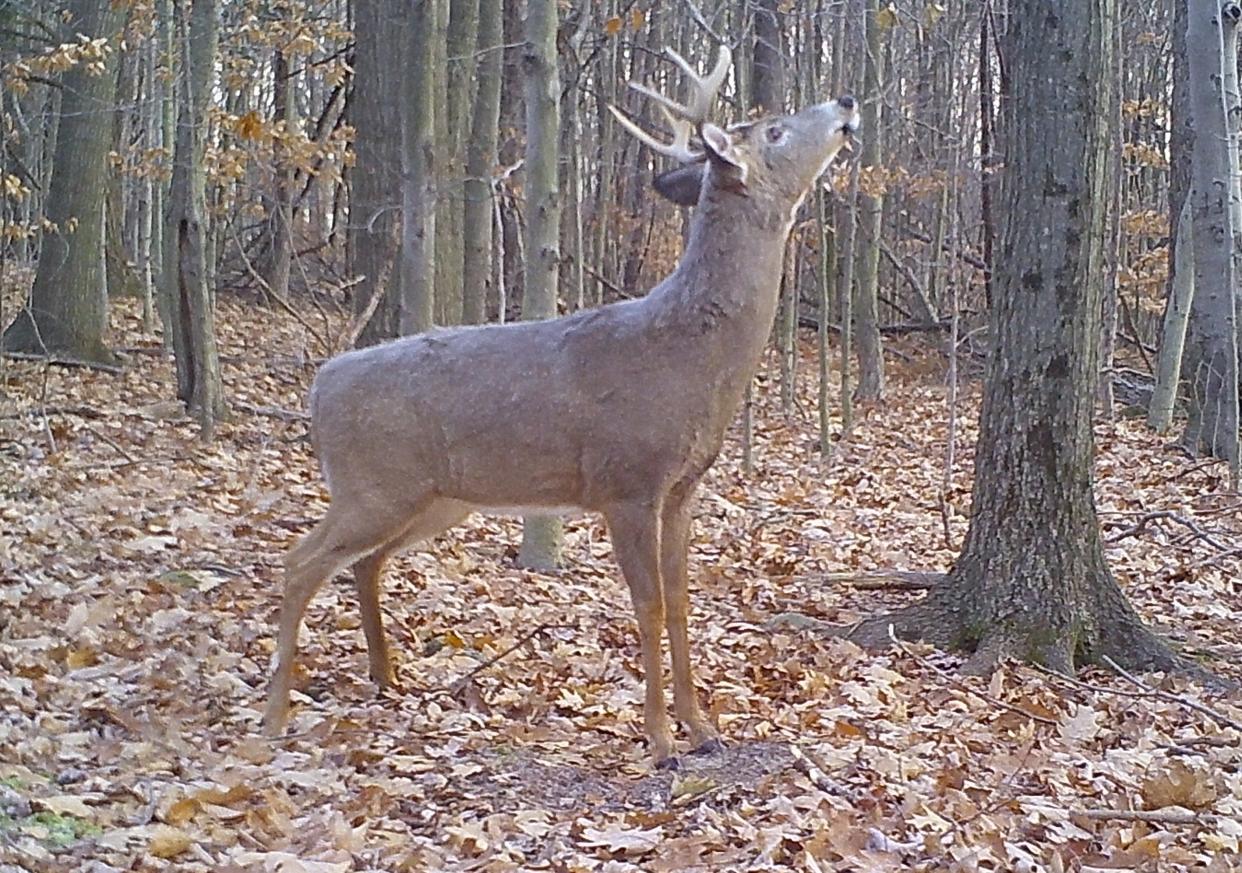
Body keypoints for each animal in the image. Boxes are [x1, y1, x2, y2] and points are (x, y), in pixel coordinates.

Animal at [265, 47, 859, 769]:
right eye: (773, 131)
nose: (846, 103)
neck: (687, 357)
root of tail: (320, 385)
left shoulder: (682, 487)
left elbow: (683, 602)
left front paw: (704, 728)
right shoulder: (625, 481)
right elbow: (648, 605)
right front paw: (661, 740)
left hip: (436, 498)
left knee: (362, 561)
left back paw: (387, 675)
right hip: (373, 483)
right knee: (299, 562)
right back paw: (275, 710)